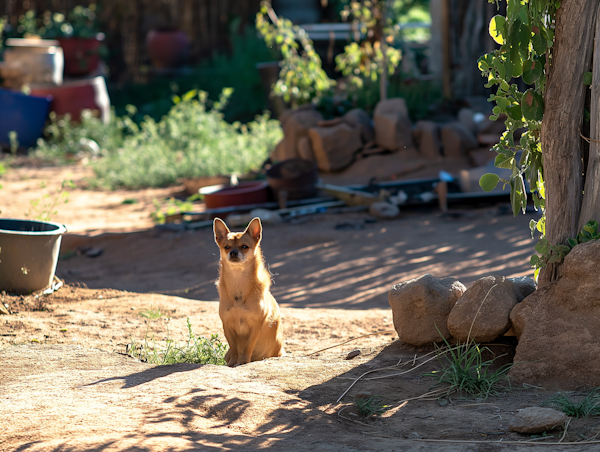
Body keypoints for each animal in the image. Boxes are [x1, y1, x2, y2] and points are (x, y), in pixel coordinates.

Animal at [213, 217, 284, 366]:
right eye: (226, 247)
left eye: (245, 246)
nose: (233, 252)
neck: (238, 280)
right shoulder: (227, 325)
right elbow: (234, 347)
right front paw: (232, 364)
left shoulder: (256, 326)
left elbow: (248, 347)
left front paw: (244, 363)